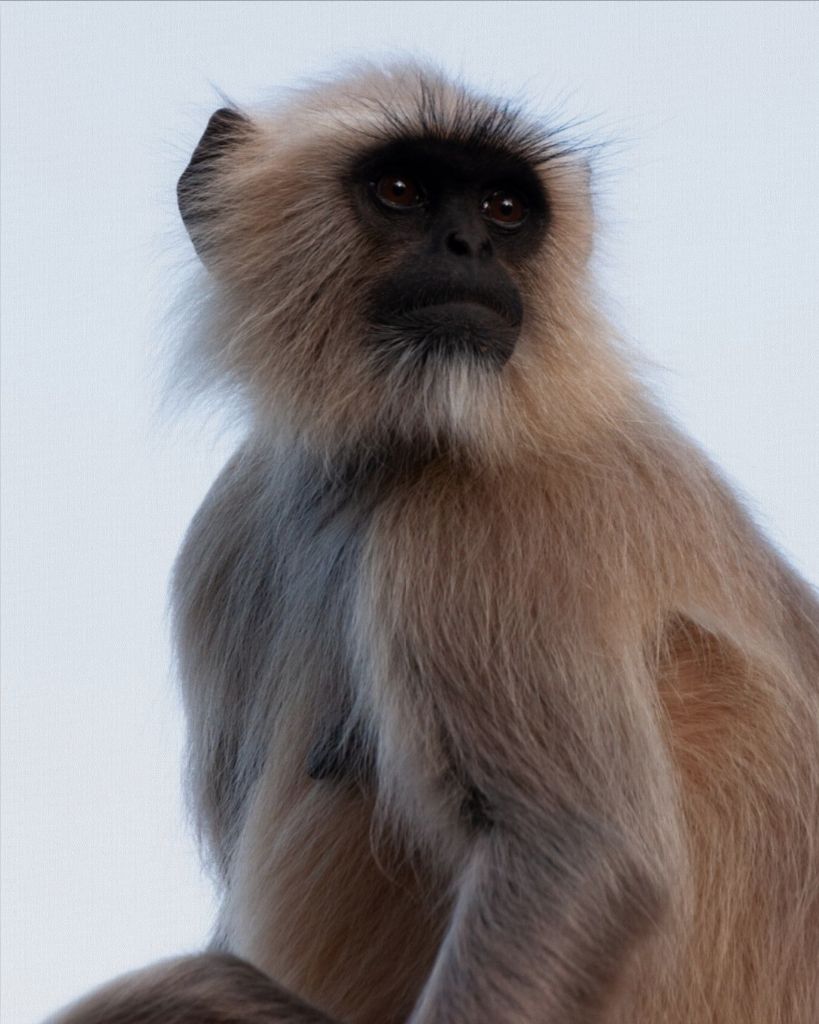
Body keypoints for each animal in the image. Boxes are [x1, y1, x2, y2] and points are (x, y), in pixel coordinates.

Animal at [50, 63, 819, 1024]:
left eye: (502, 207)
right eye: (401, 190)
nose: (468, 247)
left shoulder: (491, 513)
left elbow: (578, 861)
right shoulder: (230, 526)